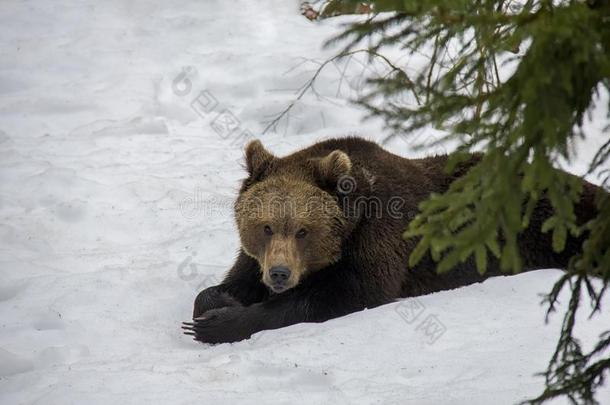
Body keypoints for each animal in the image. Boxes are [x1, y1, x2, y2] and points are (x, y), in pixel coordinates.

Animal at [180, 137, 600, 342]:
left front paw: (219, 324)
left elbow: (345, 292)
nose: (280, 275)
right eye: (266, 227)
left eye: (303, 230)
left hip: (546, 223)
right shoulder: (256, 258)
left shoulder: (380, 238)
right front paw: (215, 301)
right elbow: (235, 279)